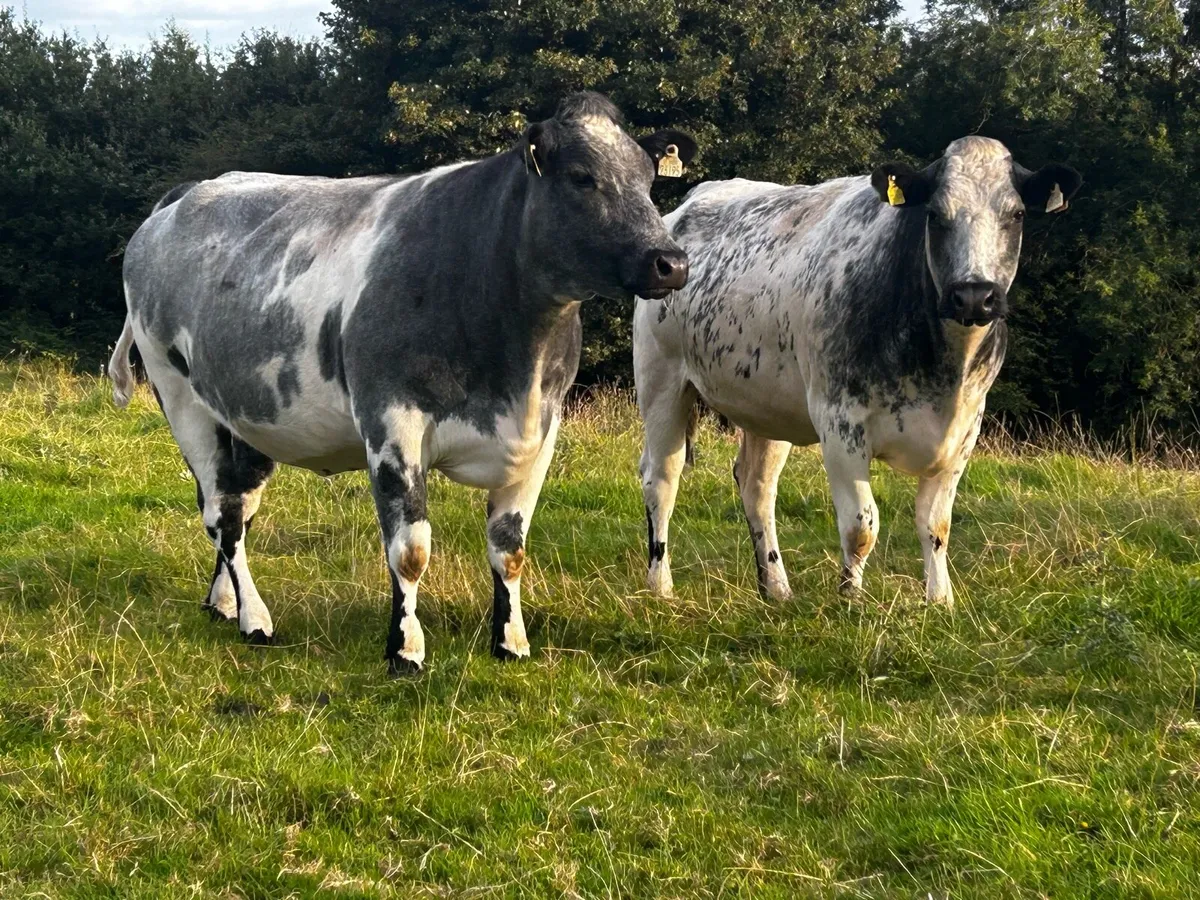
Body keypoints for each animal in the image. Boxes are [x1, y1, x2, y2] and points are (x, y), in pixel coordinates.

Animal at [108, 92, 697, 674]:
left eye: (648, 177)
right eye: (580, 177)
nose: (669, 262)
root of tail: (185, 195)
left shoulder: (542, 431)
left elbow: (510, 549)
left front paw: (510, 642)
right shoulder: (393, 423)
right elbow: (410, 549)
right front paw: (405, 649)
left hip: (246, 419)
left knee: (231, 504)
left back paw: (224, 602)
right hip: (181, 397)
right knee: (223, 517)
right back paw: (255, 618)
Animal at [633, 137, 1080, 606]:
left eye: (1017, 214)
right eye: (934, 214)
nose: (974, 295)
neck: (943, 373)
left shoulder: (964, 433)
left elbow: (936, 525)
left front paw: (940, 600)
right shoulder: (840, 424)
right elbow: (862, 525)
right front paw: (851, 598)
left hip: (767, 404)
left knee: (757, 484)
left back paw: (776, 588)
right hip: (661, 379)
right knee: (661, 478)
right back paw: (660, 585)